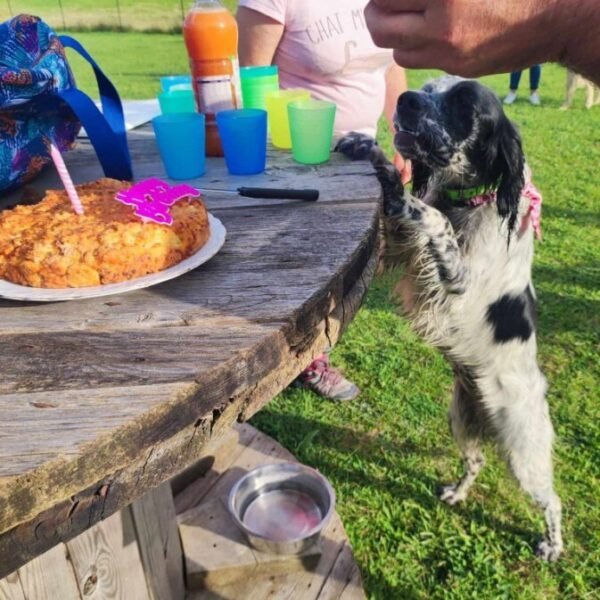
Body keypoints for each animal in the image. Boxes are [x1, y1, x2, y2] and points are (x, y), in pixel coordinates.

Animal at [338, 77, 564, 560]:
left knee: (552, 500)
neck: (470, 201)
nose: (406, 100)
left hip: (524, 453)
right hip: (461, 420)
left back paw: (552, 546)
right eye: (427, 88)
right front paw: (368, 148)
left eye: (464, 104)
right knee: (475, 462)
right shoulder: (400, 255)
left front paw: (400, 187)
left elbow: (434, 217)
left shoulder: (457, 282)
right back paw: (458, 493)